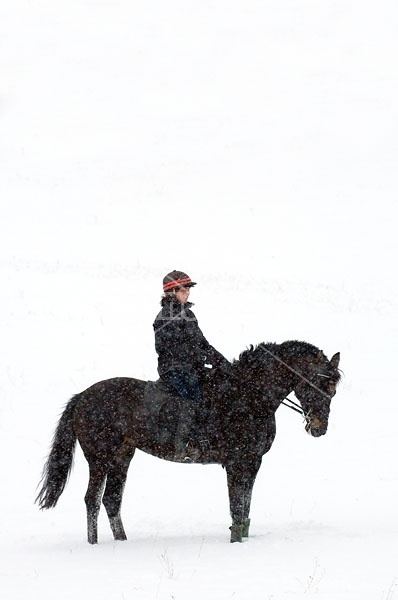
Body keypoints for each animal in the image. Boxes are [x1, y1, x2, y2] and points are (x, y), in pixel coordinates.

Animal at [36, 342, 338, 544]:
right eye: (317, 382)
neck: (247, 394)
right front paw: (235, 543)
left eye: (334, 390)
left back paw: (122, 542)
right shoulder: (236, 463)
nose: (319, 428)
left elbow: (246, 507)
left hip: (123, 456)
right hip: (99, 458)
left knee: (111, 499)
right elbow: (236, 505)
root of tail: (81, 397)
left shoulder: (253, 462)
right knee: (92, 499)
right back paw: (94, 545)